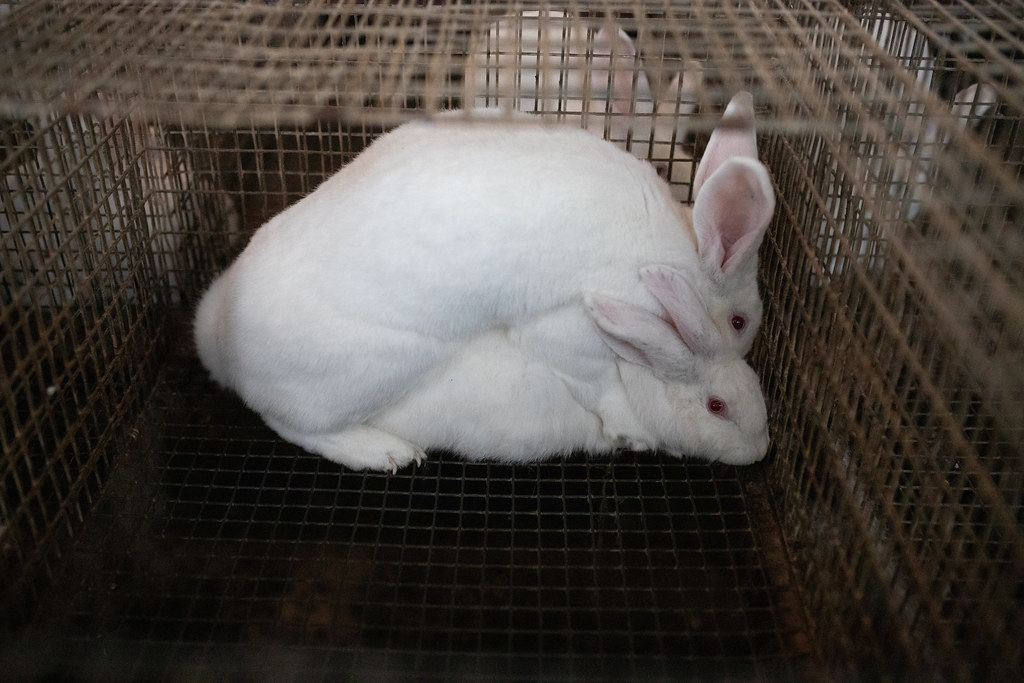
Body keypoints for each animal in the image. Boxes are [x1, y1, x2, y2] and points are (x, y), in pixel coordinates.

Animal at [194, 99, 774, 471]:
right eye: (739, 322)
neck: (677, 256)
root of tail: (214, 338)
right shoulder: (571, 320)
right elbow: (598, 382)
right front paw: (628, 428)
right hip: (361, 375)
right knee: (289, 422)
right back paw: (382, 453)